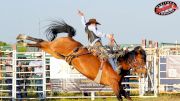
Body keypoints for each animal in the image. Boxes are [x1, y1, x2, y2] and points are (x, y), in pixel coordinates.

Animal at [16, 20, 147, 100]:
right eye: (141, 59)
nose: (145, 73)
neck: (117, 64)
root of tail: (69, 38)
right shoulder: (114, 86)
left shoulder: (119, 86)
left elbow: (128, 97)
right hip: (53, 47)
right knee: (42, 41)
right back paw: (21, 38)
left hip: (54, 52)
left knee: (41, 42)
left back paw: (21, 40)